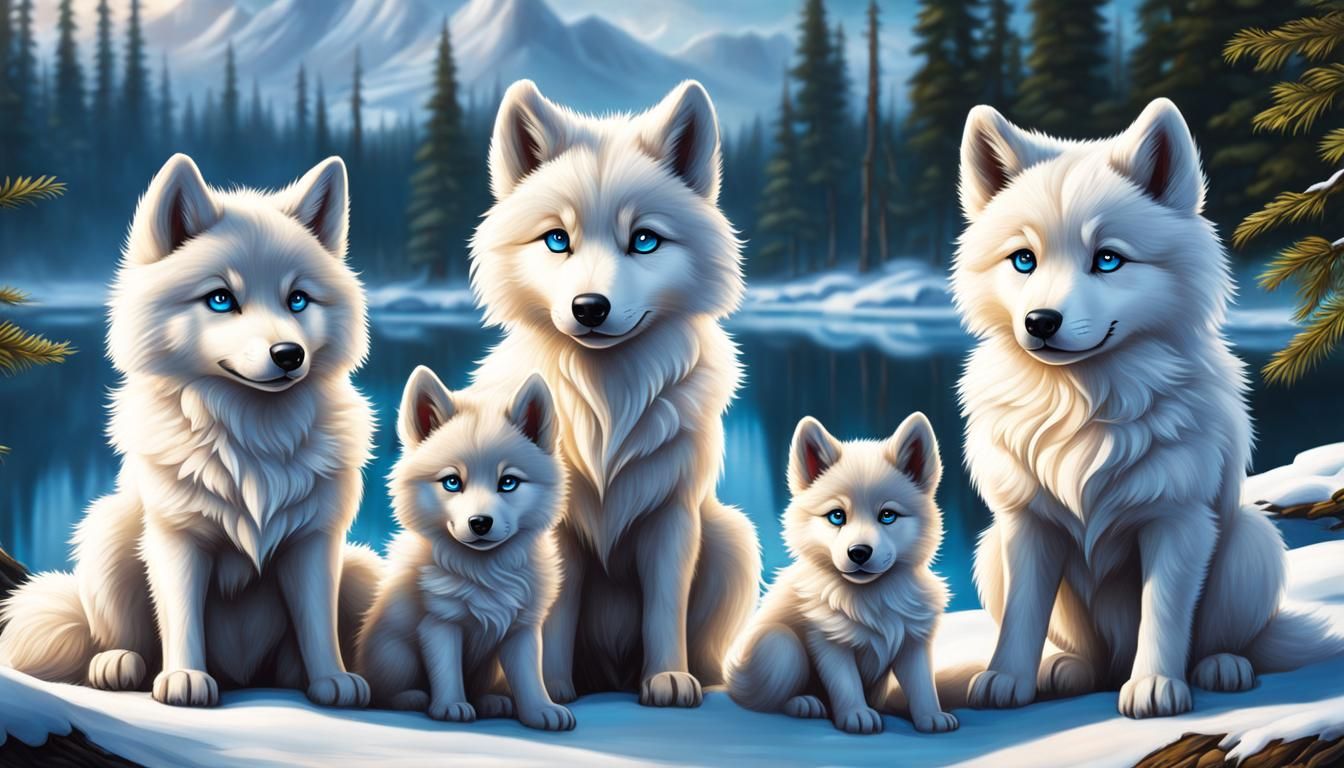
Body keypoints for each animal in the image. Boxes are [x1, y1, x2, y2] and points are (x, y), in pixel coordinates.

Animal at [0, 153, 379, 708]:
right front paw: (184, 678)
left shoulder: (314, 542)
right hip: (107, 532)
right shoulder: (176, 538)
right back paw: (119, 664)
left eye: (298, 300)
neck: (255, 438)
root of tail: (243, 676)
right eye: (221, 299)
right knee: (114, 635)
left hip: (360, 570)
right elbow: (179, 616)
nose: (289, 355)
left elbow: (316, 621)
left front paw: (332, 679)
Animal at [356, 367, 575, 731]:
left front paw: (541, 710)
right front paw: (451, 706)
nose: (480, 523)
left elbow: (529, 675)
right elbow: (446, 670)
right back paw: (413, 698)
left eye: (508, 482)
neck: (485, 571)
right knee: (385, 690)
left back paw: (491, 701)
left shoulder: (522, 629)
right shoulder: (439, 623)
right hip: (396, 655)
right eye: (452, 482)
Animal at [467, 79, 761, 707]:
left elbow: (665, 607)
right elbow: (554, 613)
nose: (589, 307)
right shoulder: (556, 530)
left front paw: (668, 679)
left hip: (732, 537)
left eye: (644, 241)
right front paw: (552, 687)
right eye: (557, 240)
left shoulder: (672, 518)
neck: (607, 403)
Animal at [725, 413, 958, 735]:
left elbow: (922, 684)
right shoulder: (827, 639)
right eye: (837, 516)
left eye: (887, 515)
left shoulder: (913, 640)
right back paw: (804, 703)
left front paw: (931, 717)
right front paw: (857, 715)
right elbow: (846, 683)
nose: (859, 552)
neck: (872, 598)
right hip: (780, 646)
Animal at [954, 98, 1343, 719]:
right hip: (990, 549)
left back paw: (1221, 668)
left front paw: (1156, 687)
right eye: (1024, 260)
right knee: (1088, 657)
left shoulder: (1178, 521)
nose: (1040, 322)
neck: (1083, 405)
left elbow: (1162, 612)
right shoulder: (1026, 525)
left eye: (1108, 260)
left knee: (1226, 641)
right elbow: (1021, 615)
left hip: (1249, 541)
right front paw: (1006, 680)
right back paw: (1067, 670)